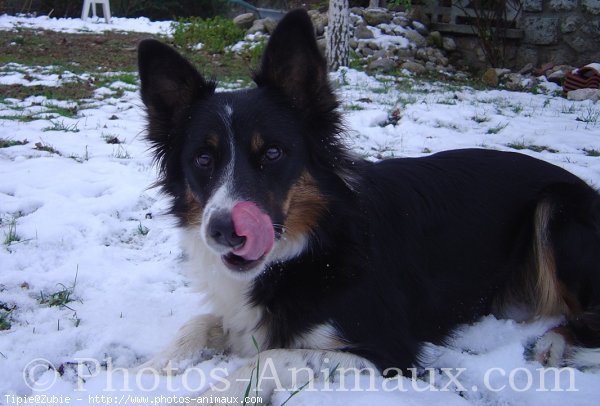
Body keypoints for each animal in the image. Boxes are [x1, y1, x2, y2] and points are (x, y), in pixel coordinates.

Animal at [138, 8, 600, 402]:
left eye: (272, 153)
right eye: (203, 159)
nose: (223, 232)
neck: (311, 245)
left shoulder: (389, 352)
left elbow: (272, 356)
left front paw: (212, 394)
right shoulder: (242, 314)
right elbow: (204, 322)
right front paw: (148, 369)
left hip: (558, 209)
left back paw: (554, 344)